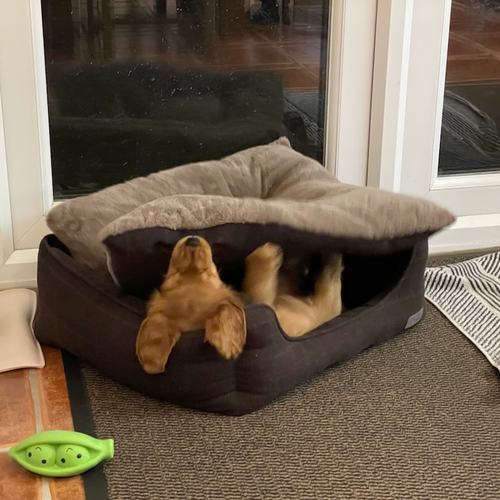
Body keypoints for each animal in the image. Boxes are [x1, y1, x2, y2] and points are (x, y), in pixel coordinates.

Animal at [136, 236, 343, 374]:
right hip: (327, 302)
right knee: (330, 278)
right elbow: (258, 282)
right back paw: (332, 257)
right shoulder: (265, 302)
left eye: (173, 275)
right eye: (207, 272)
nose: (192, 240)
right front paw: (266, 254)